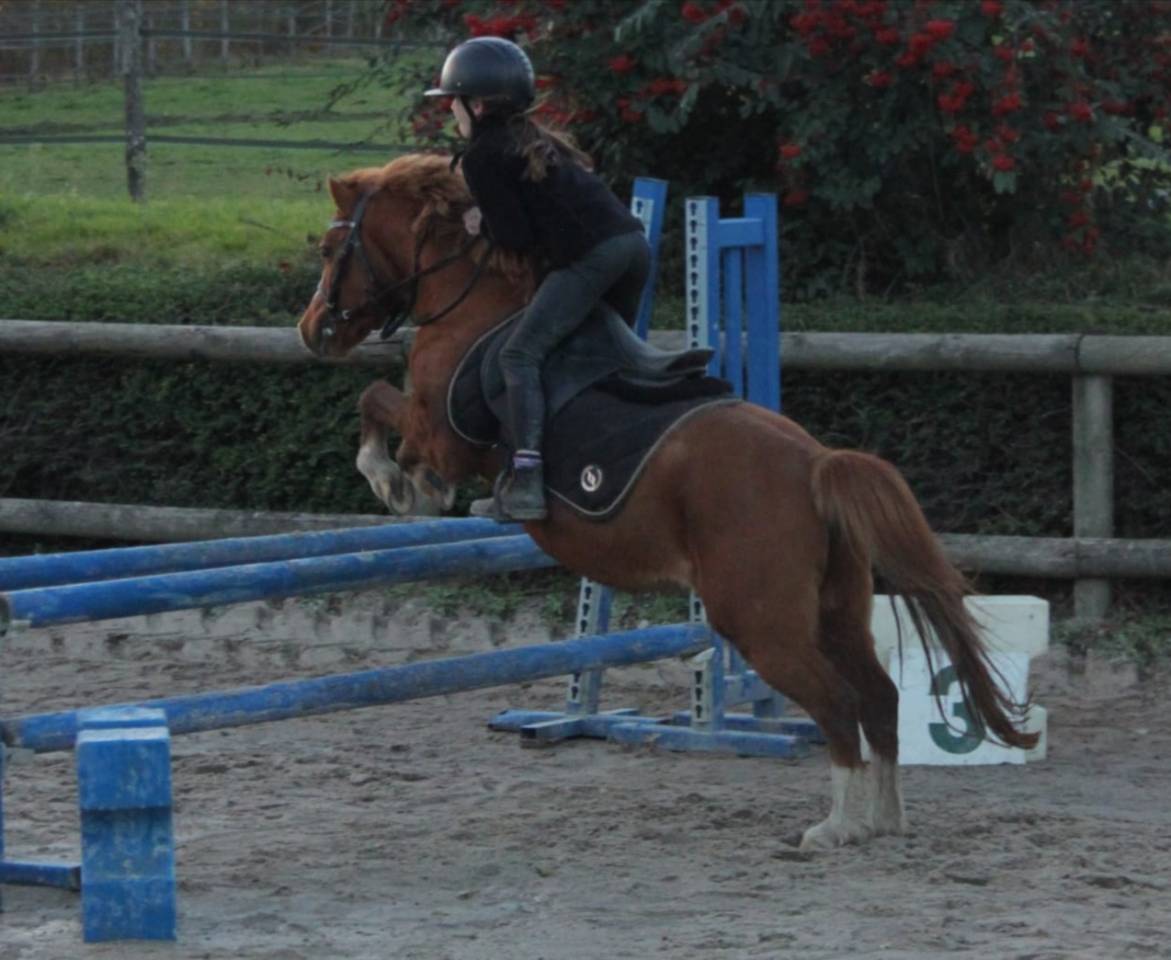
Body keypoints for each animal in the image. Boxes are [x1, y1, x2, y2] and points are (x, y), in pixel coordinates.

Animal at [297, 153, 1038, 851]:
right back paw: (882, 820)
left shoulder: (444, 435)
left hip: (759, 620)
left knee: (836, 702)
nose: (310, 331)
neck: (468, 301)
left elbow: (376, 405)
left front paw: (396, 483)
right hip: (834, 608)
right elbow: (377, 404)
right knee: (878, 696)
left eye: (332, 250)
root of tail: (814, 463)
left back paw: (836, 827)